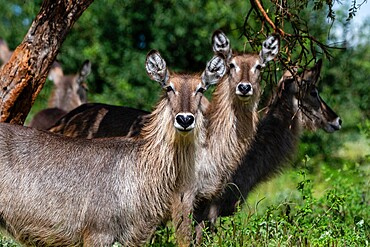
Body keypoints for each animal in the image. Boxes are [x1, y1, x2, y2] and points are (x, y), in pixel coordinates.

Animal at [0, 50, 225, 247]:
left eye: (201, 89)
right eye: (168, 87)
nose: (185, 119)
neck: (140, 166)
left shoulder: (133, 237)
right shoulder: (98, 233)